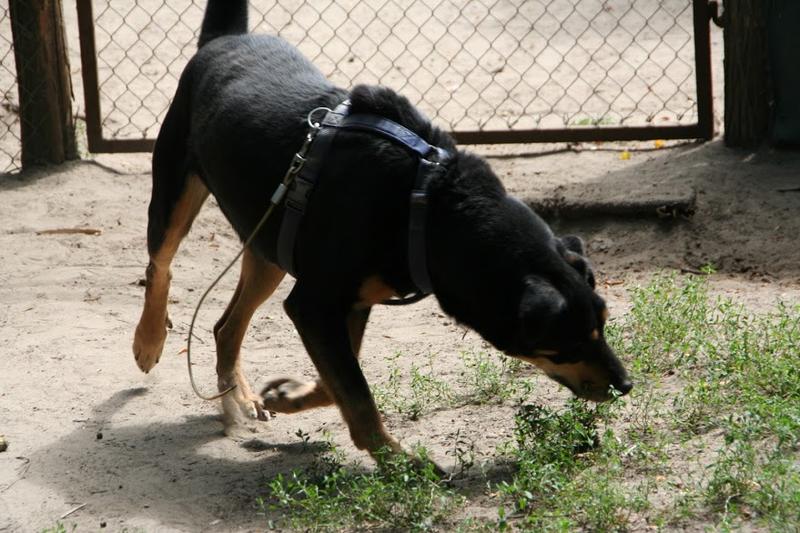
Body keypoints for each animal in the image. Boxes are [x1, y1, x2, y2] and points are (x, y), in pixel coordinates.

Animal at [131, 1, 632, 462]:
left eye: (603, 325)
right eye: (568, 340)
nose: (625, 385)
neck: (428, 204)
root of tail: (224, 39)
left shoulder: (348, 304)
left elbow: (338, 382)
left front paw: (289, 396)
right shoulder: (315, 305)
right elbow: (356, 392)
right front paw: (398, 462)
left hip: (268, 245)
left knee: (225, 326)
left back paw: (239, 396)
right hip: (175, 194)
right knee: (160, 267)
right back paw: (149, 341)